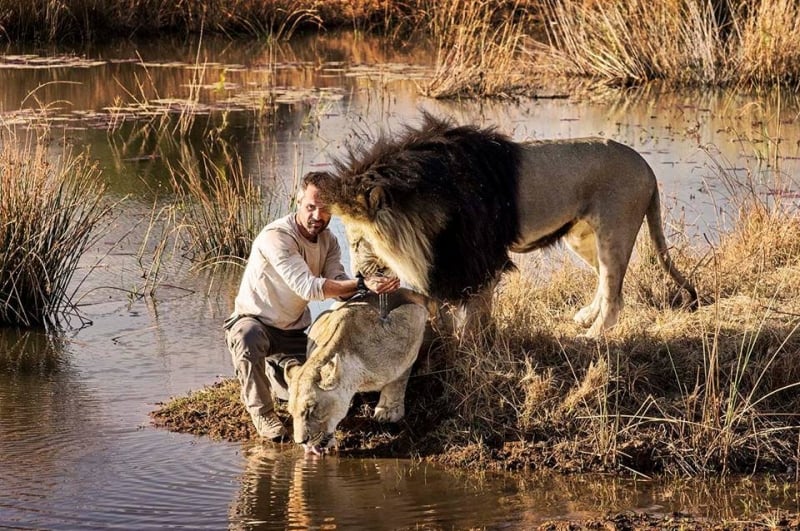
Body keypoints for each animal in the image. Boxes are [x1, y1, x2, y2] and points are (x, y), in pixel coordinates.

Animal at [284, 288, 428, 456]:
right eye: (291, 411)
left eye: (311, 409)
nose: (301, 442)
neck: (358, 377)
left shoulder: (414, 317)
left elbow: (399, 378)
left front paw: (388, 412)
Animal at [318, 113, 692, 336]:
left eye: (358, 242)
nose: (359, 276)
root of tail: (647, 167)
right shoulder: (447, 262)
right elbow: (440, 307)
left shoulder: (480, 259)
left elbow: (475, 313)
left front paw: (472, 345)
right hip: (584, 238)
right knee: (605, 282)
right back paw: (586, 317)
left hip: (614, 232)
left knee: (614, 294)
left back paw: (593, 336)